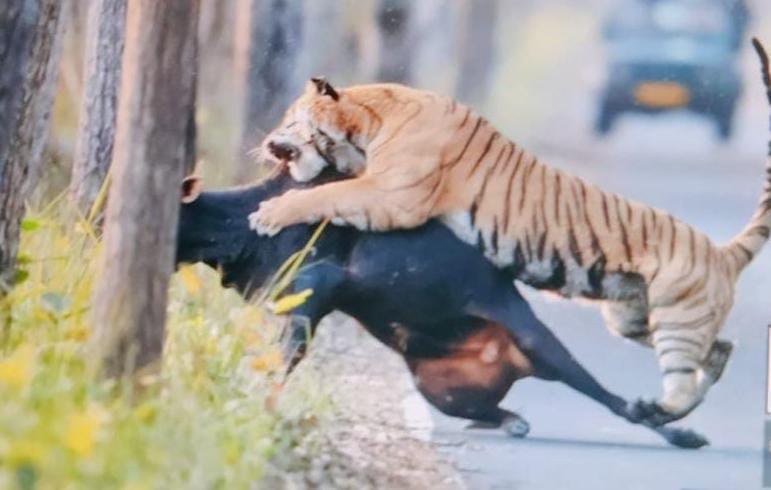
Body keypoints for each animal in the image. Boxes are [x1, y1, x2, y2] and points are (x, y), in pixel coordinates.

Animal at [248, 39, 771, 426]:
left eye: (290, 118)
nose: (267, 141)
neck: (370, 121)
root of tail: (722, 252)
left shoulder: (393, 195)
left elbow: (326, 195)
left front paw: (269, 212)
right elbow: (331, 190)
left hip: (674, 323)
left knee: (688, 370)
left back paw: (661, 409)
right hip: (634, 319)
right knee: (721, 350)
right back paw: (664, 411)